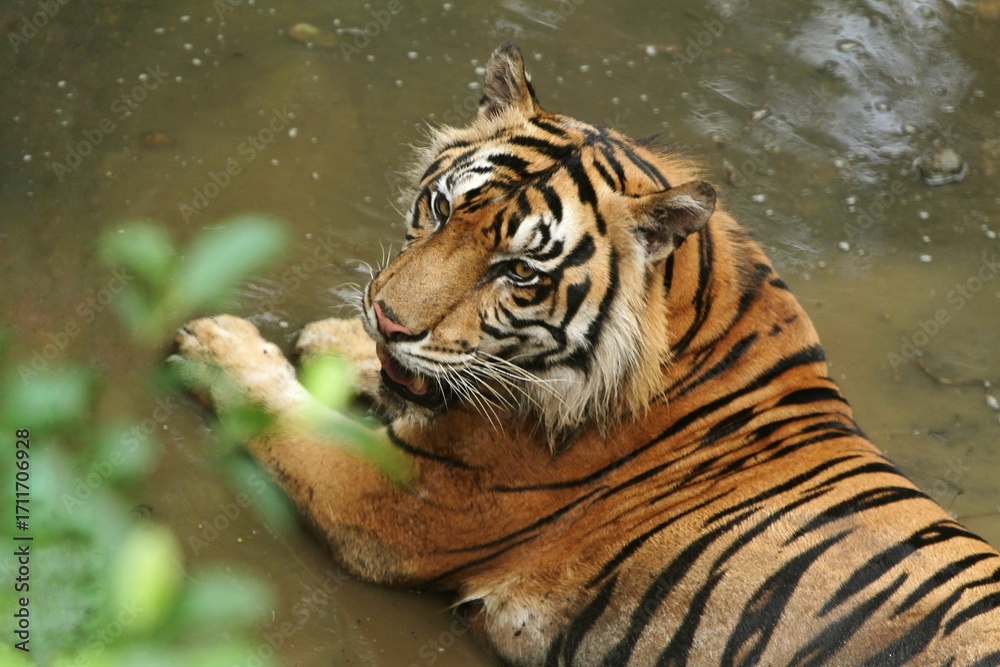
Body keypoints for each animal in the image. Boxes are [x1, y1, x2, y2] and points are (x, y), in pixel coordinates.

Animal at [171, 43, 1000, 666]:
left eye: (518, 271)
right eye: (439, 207)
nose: (388, 318)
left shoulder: (392, 499)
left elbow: (277, 413)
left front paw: (215, 340)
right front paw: (333, 338)